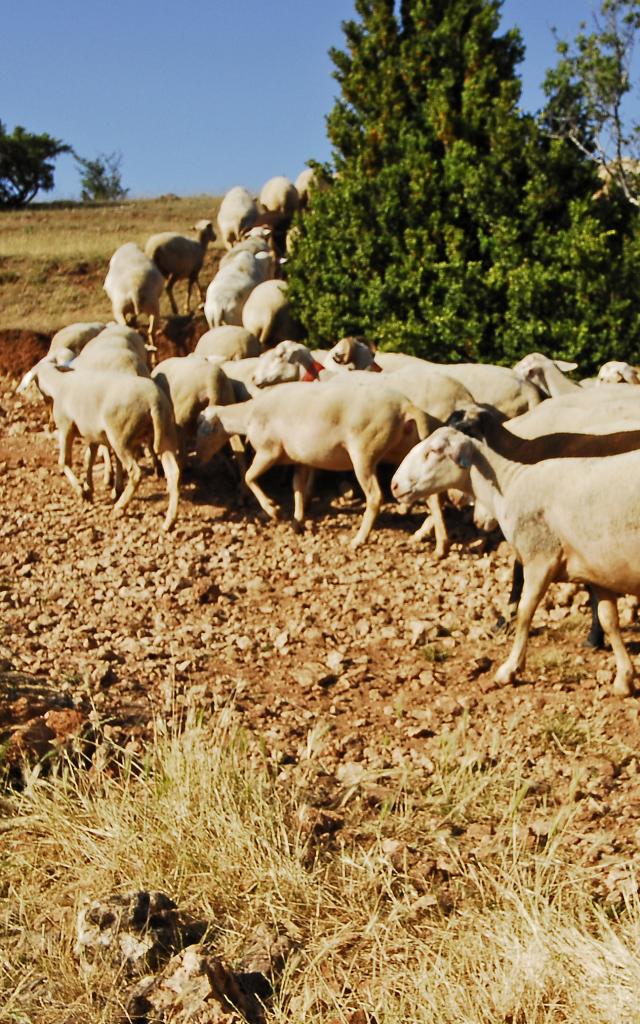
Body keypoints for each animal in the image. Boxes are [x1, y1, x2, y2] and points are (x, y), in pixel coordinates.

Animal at [194, 378, 444, 552]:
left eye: (203, 429)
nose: (198, 456)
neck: (248, 416)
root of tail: (405, 407)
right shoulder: (298, 459)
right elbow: (297, 488)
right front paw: (297, 521)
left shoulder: (268, 451)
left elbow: (249, 477)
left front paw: (274, 510)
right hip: (405, 448)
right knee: (432, 495)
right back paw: (439, 544)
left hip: (365, 450)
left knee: (375, 496)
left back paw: (358, 540)